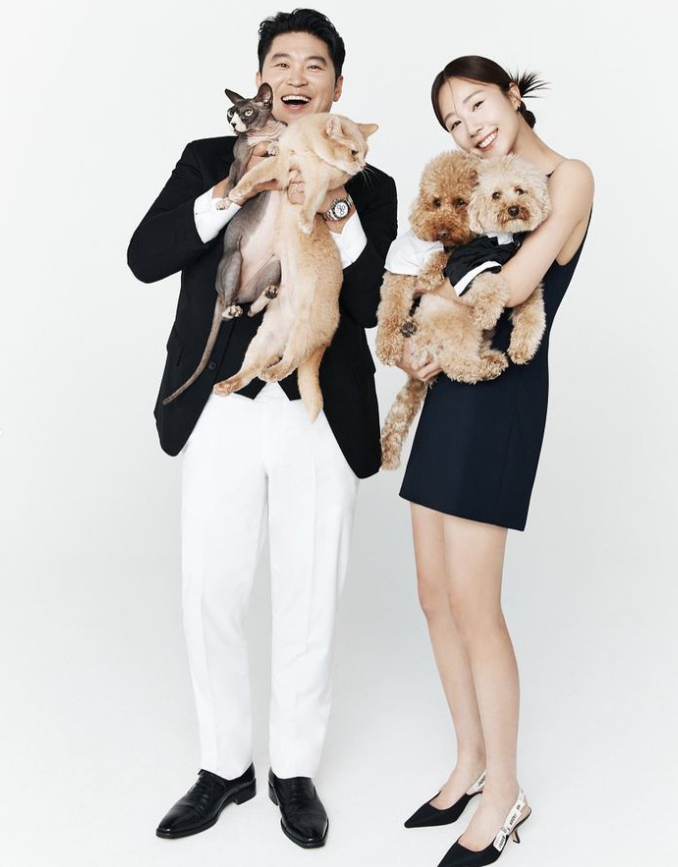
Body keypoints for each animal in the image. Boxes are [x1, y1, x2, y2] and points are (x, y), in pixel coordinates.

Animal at [162, 82, 286, 406]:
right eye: (230, 112)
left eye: (246, 112)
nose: (232, 124)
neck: (264, 132)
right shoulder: (241, 161)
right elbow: (236, 181)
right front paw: (225, 201)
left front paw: (278, 146)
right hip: (234, 261)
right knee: (232, 303)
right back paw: (232, 309)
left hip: (275, 262)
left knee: (253, 309)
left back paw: (267, 295)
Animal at [212, 113, 378, 421]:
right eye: (354, 152)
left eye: (365, 154)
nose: (361, 167)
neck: (306, 148)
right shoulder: (280, 163)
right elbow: (254, 175)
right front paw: (237, 192)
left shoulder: (318, 179)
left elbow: (311, 201)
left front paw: (305, 221)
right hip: (265, 337)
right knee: (251, 368)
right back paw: (228, 382)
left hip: (303, 332)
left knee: (291, 361)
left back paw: (273, 371)